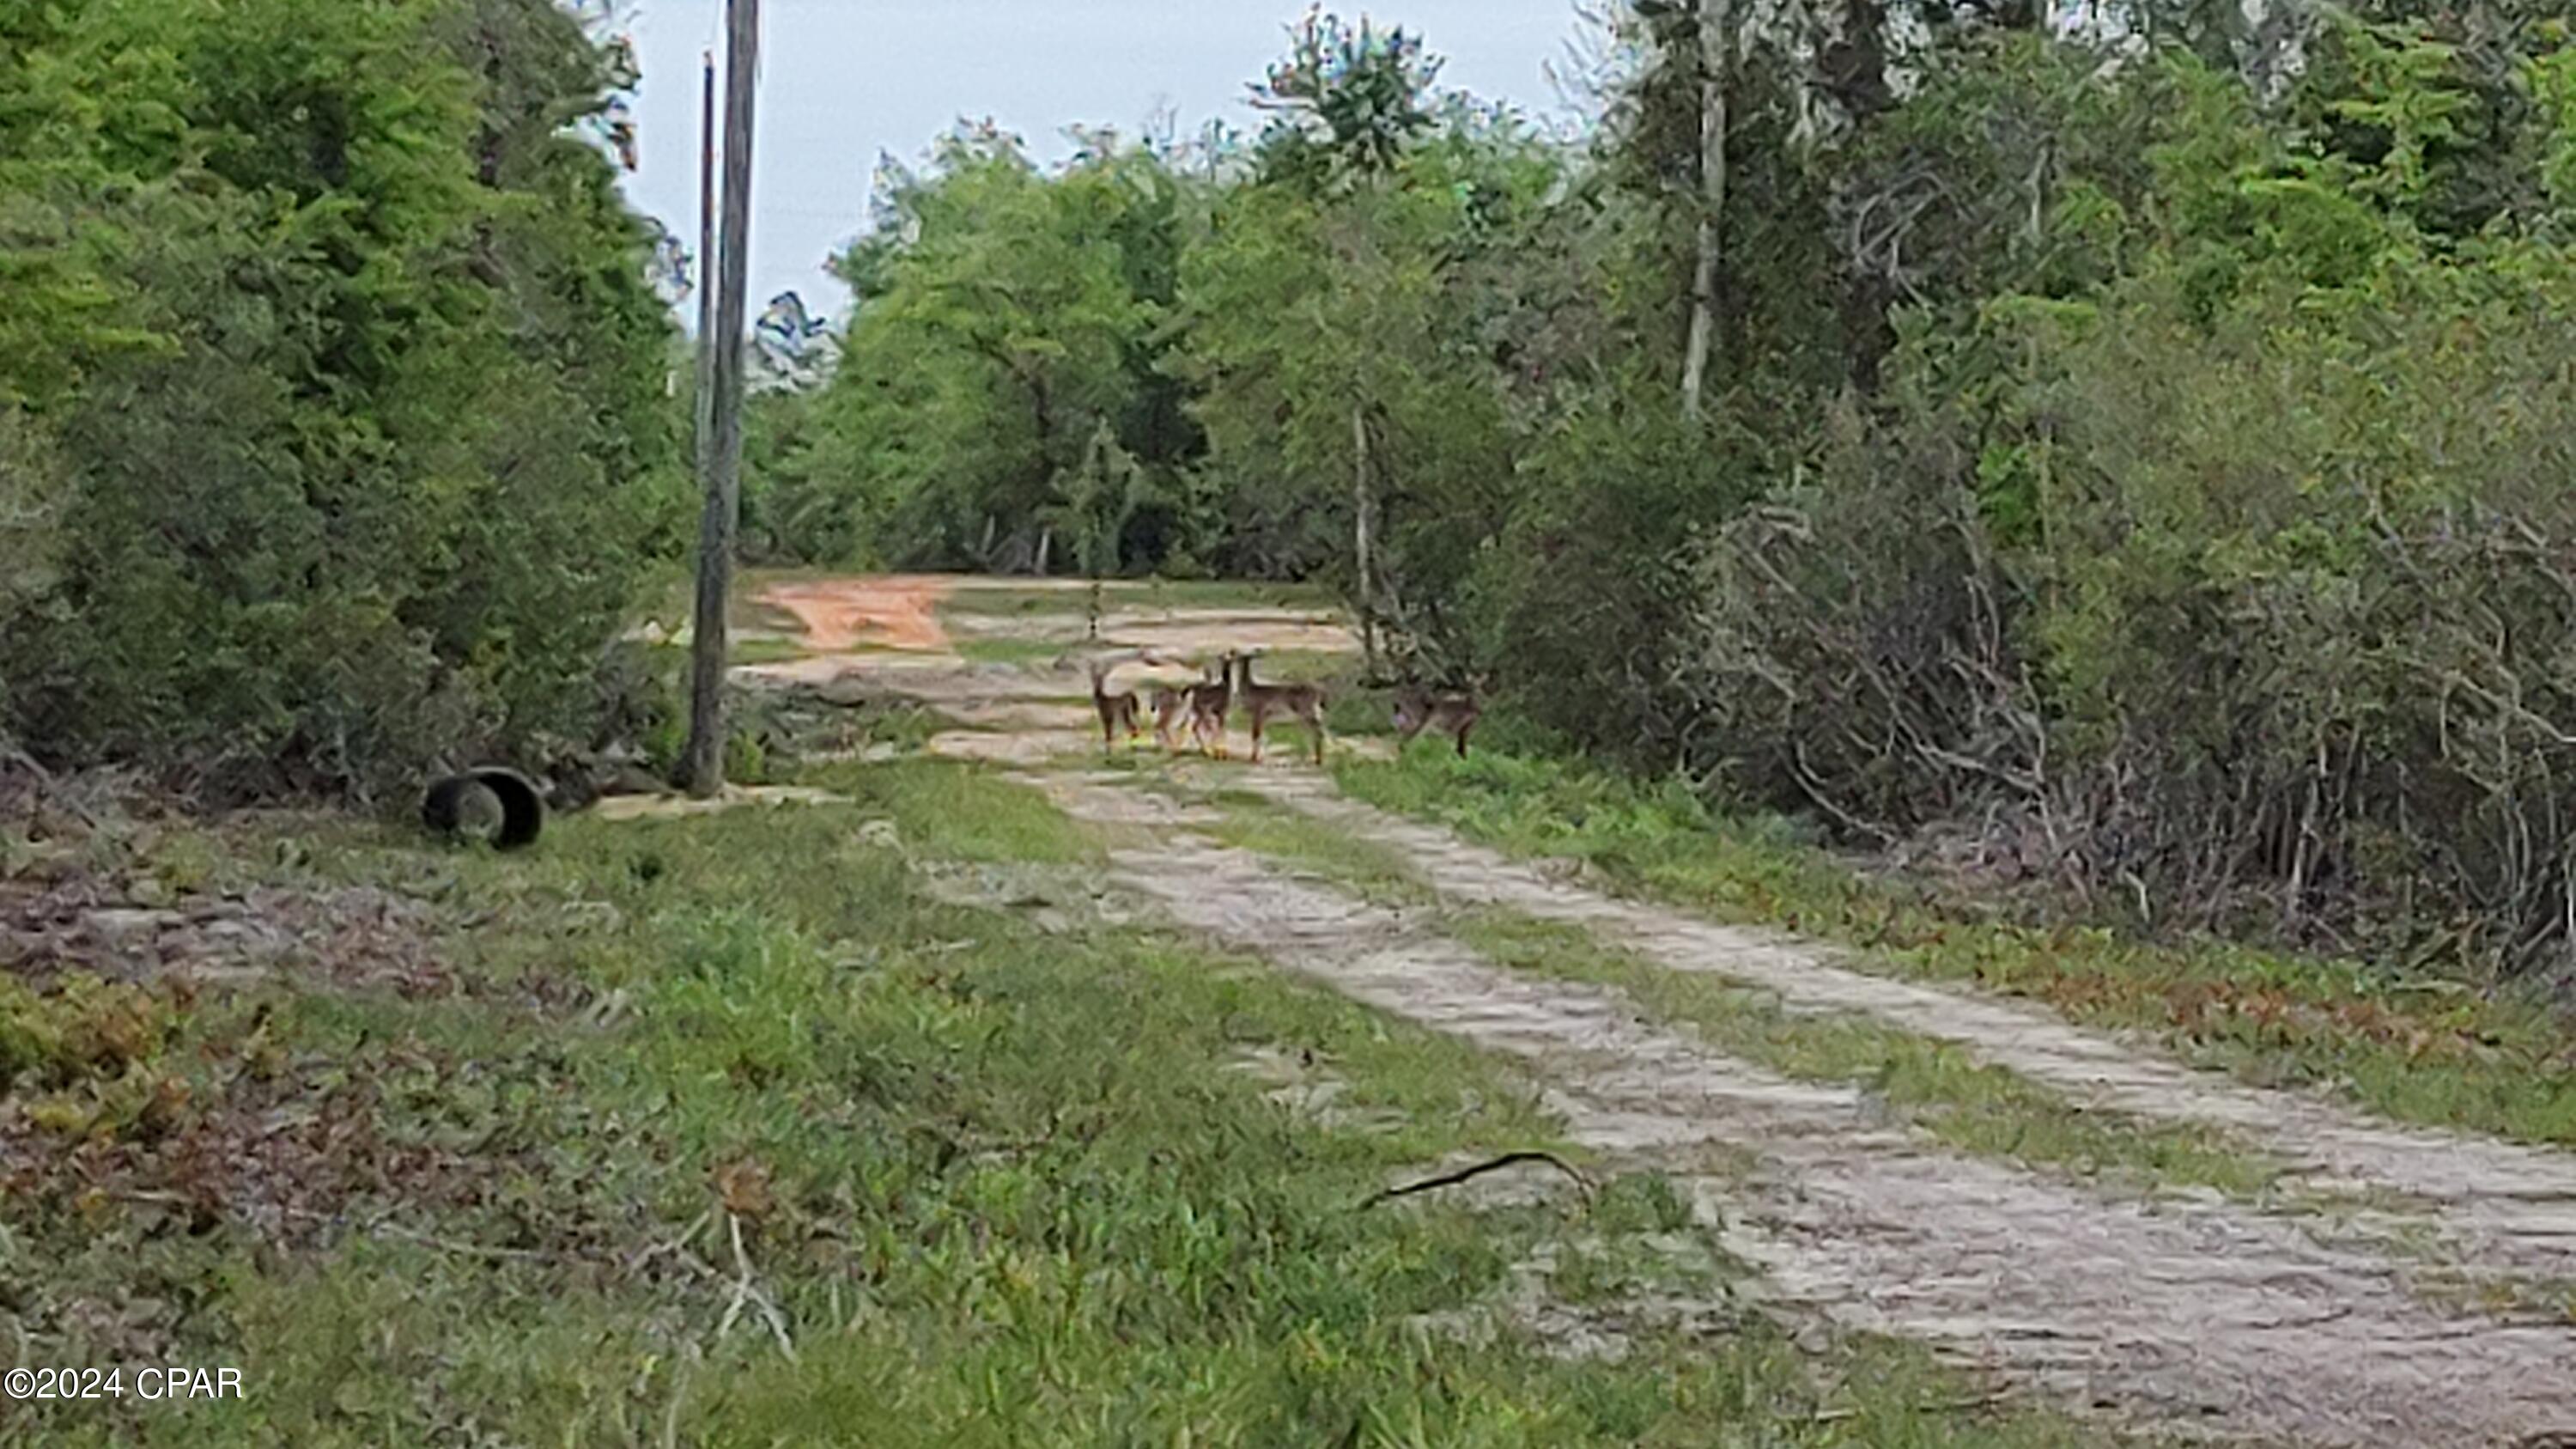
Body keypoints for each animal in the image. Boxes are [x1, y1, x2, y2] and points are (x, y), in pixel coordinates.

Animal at [1231, 652, 1329, 768]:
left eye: (1239, 657)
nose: (1232, 658)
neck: (1250, 690)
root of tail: (1320, 691)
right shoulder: (1263, 719)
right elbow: (1260, 736)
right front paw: (1258, 758)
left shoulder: (1258, 714)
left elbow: (1255, 735)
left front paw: (1253, 759)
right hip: (1307, 718)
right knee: (1315, 733)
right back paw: (1315, 759)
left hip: (1309, 714)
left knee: (1319, 733)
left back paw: (1318, 761)